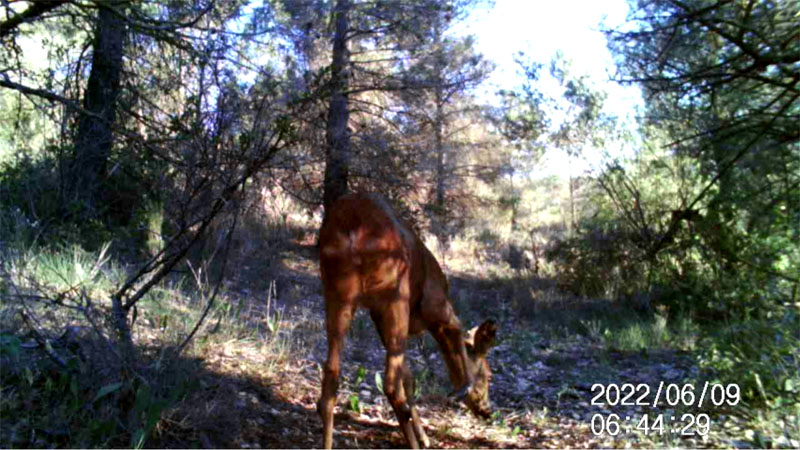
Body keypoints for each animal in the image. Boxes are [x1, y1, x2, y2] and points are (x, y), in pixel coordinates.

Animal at [318, 194, 494, 450]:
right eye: (489, 375)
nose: (487, 411)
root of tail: (352, 225)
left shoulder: (378, 317)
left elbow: (408, 376)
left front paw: (423, 435)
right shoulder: (437, 307)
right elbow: (456, 331)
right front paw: (464, 389)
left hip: (337, 293)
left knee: (332, 372)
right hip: (395, 294)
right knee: (390, 385)